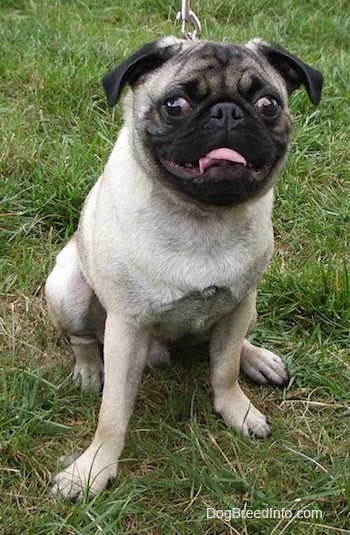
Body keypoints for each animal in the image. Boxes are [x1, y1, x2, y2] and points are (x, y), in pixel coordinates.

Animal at [44, 35, 322, 500]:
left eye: (268, 104)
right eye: (175, 105)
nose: (227, 111)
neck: (201, 216)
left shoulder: (238, 303)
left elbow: (223, 370)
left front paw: (237, 411)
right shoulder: (125, 328)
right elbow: (112, 413)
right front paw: (94, 468)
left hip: (251, 306)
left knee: (229, 344)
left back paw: (256, 358)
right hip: (67, 287)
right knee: (81, 337)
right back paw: (87, 369)